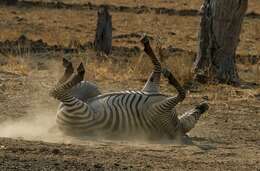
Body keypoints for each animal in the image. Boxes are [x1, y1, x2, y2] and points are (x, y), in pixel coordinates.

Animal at [50, 36, 209, 140]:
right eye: (197, 113)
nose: (204, 106)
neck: (176, 125)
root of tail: (58, 124)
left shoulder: (159, 109)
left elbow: (182, 94)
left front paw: (170, 77)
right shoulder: (151, 89)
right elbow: (157, 67)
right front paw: (147, 46)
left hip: (81, 110)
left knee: (55, 92)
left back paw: (77, 72)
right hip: (91, 89)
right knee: (57, 90)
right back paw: (69, 68)